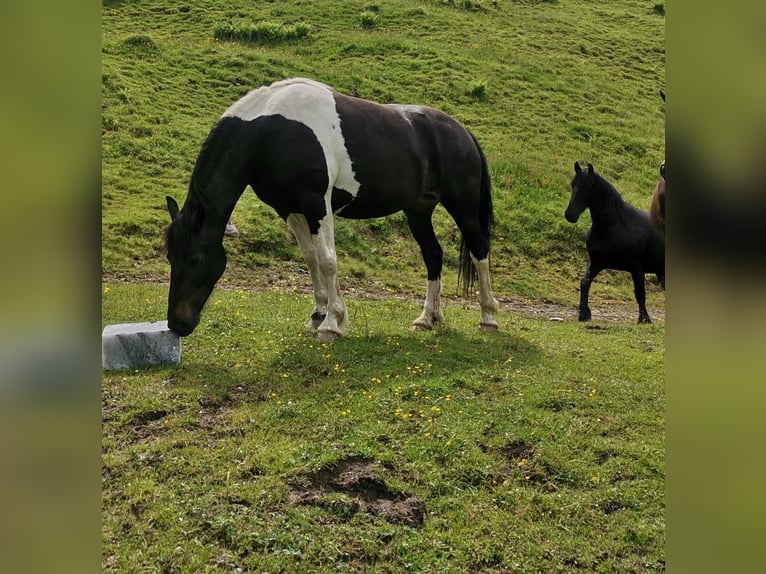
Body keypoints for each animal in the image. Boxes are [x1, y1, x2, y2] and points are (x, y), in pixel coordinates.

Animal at [165, 78, 500, 340]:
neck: (271, 132)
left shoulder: (317, 203)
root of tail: (462, 133)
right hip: (418, 211)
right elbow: (311, 258)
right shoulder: (290, 209)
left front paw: (331, 323)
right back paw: (427, 319)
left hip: (464, 208)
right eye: (170, 256)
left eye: (195, 258)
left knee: (479, 251)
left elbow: (327, 260)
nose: (177, 323)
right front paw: (319, 315)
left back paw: (488, 317)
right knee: (433, 255)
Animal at [564, 162, 664, 324]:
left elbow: (640, 293)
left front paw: (644, 319)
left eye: (587, 186)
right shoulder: (596, 262)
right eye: (573, 184)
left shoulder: (637, 267)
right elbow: (585, 283)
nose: (570, 215)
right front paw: (584, 314)